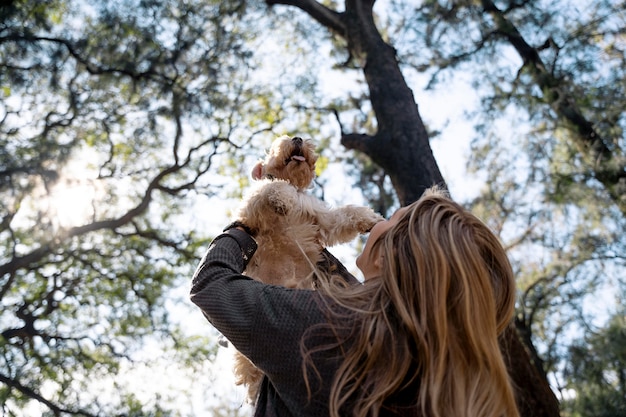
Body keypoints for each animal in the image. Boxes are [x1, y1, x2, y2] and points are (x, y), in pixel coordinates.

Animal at [232, 135, 382, 402]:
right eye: (276, 143)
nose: (297, 138)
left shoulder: (323, 221)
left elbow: (346, 214)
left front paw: (371, 219)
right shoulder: (252, 210)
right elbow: (272, 187)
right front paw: (283, 200)